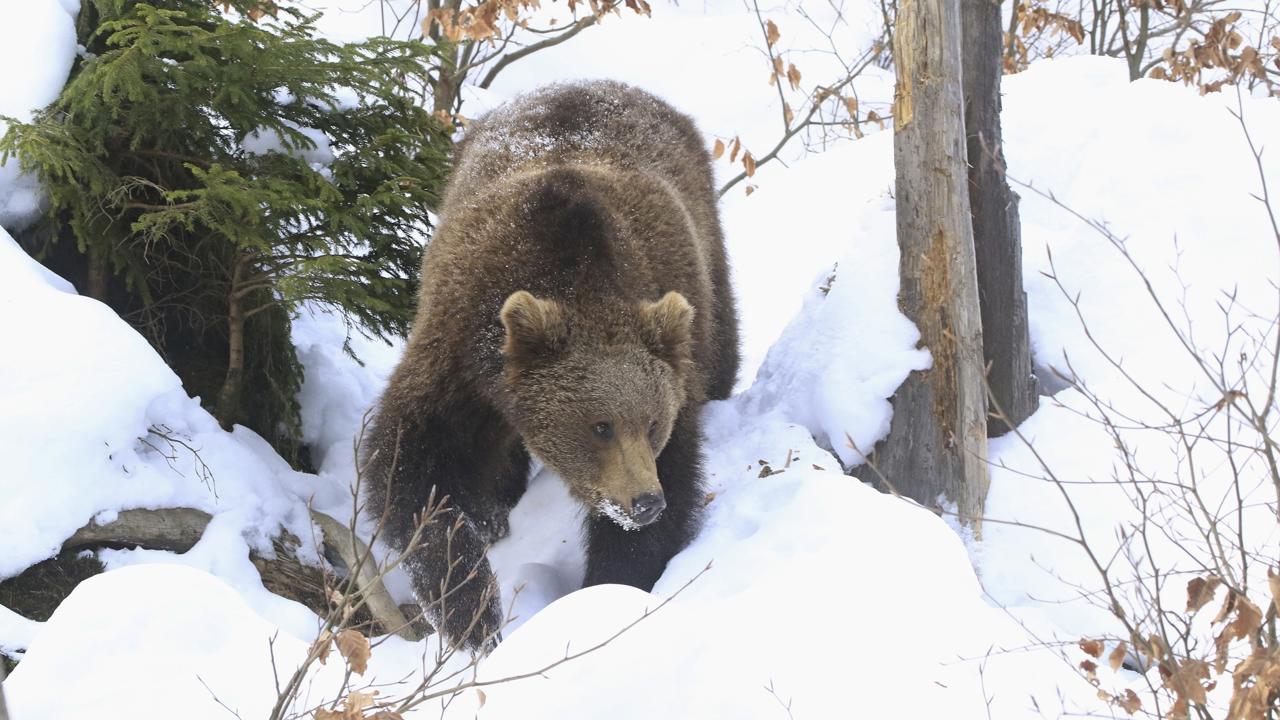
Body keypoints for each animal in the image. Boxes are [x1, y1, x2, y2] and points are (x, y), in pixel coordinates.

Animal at [363, 79, 742, 650]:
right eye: (600, 425)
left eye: (652, 423)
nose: (644, 502)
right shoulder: (459, 351)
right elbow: (411, 467)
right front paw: (469, 609)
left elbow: (670, 489)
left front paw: (609, 588)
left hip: (707, 264)